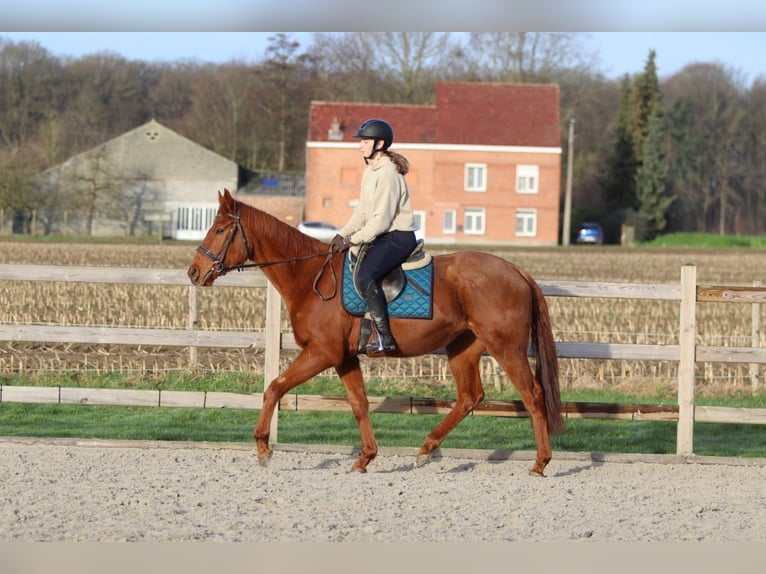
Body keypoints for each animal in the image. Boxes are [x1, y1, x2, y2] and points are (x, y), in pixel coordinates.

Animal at [187, 189, 564, 476]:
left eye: (219, 230)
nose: (194, 271)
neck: (310, 277)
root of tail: (514, 269)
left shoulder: (321, 353)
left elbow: (274, 388)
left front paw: (264, 448)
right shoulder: (343, 357)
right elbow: (359, 403)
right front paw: (365, 457)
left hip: (506, 348)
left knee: (533, 395)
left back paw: (540, 463)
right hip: (463, 348)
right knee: (470, 397)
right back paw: (426, 448)